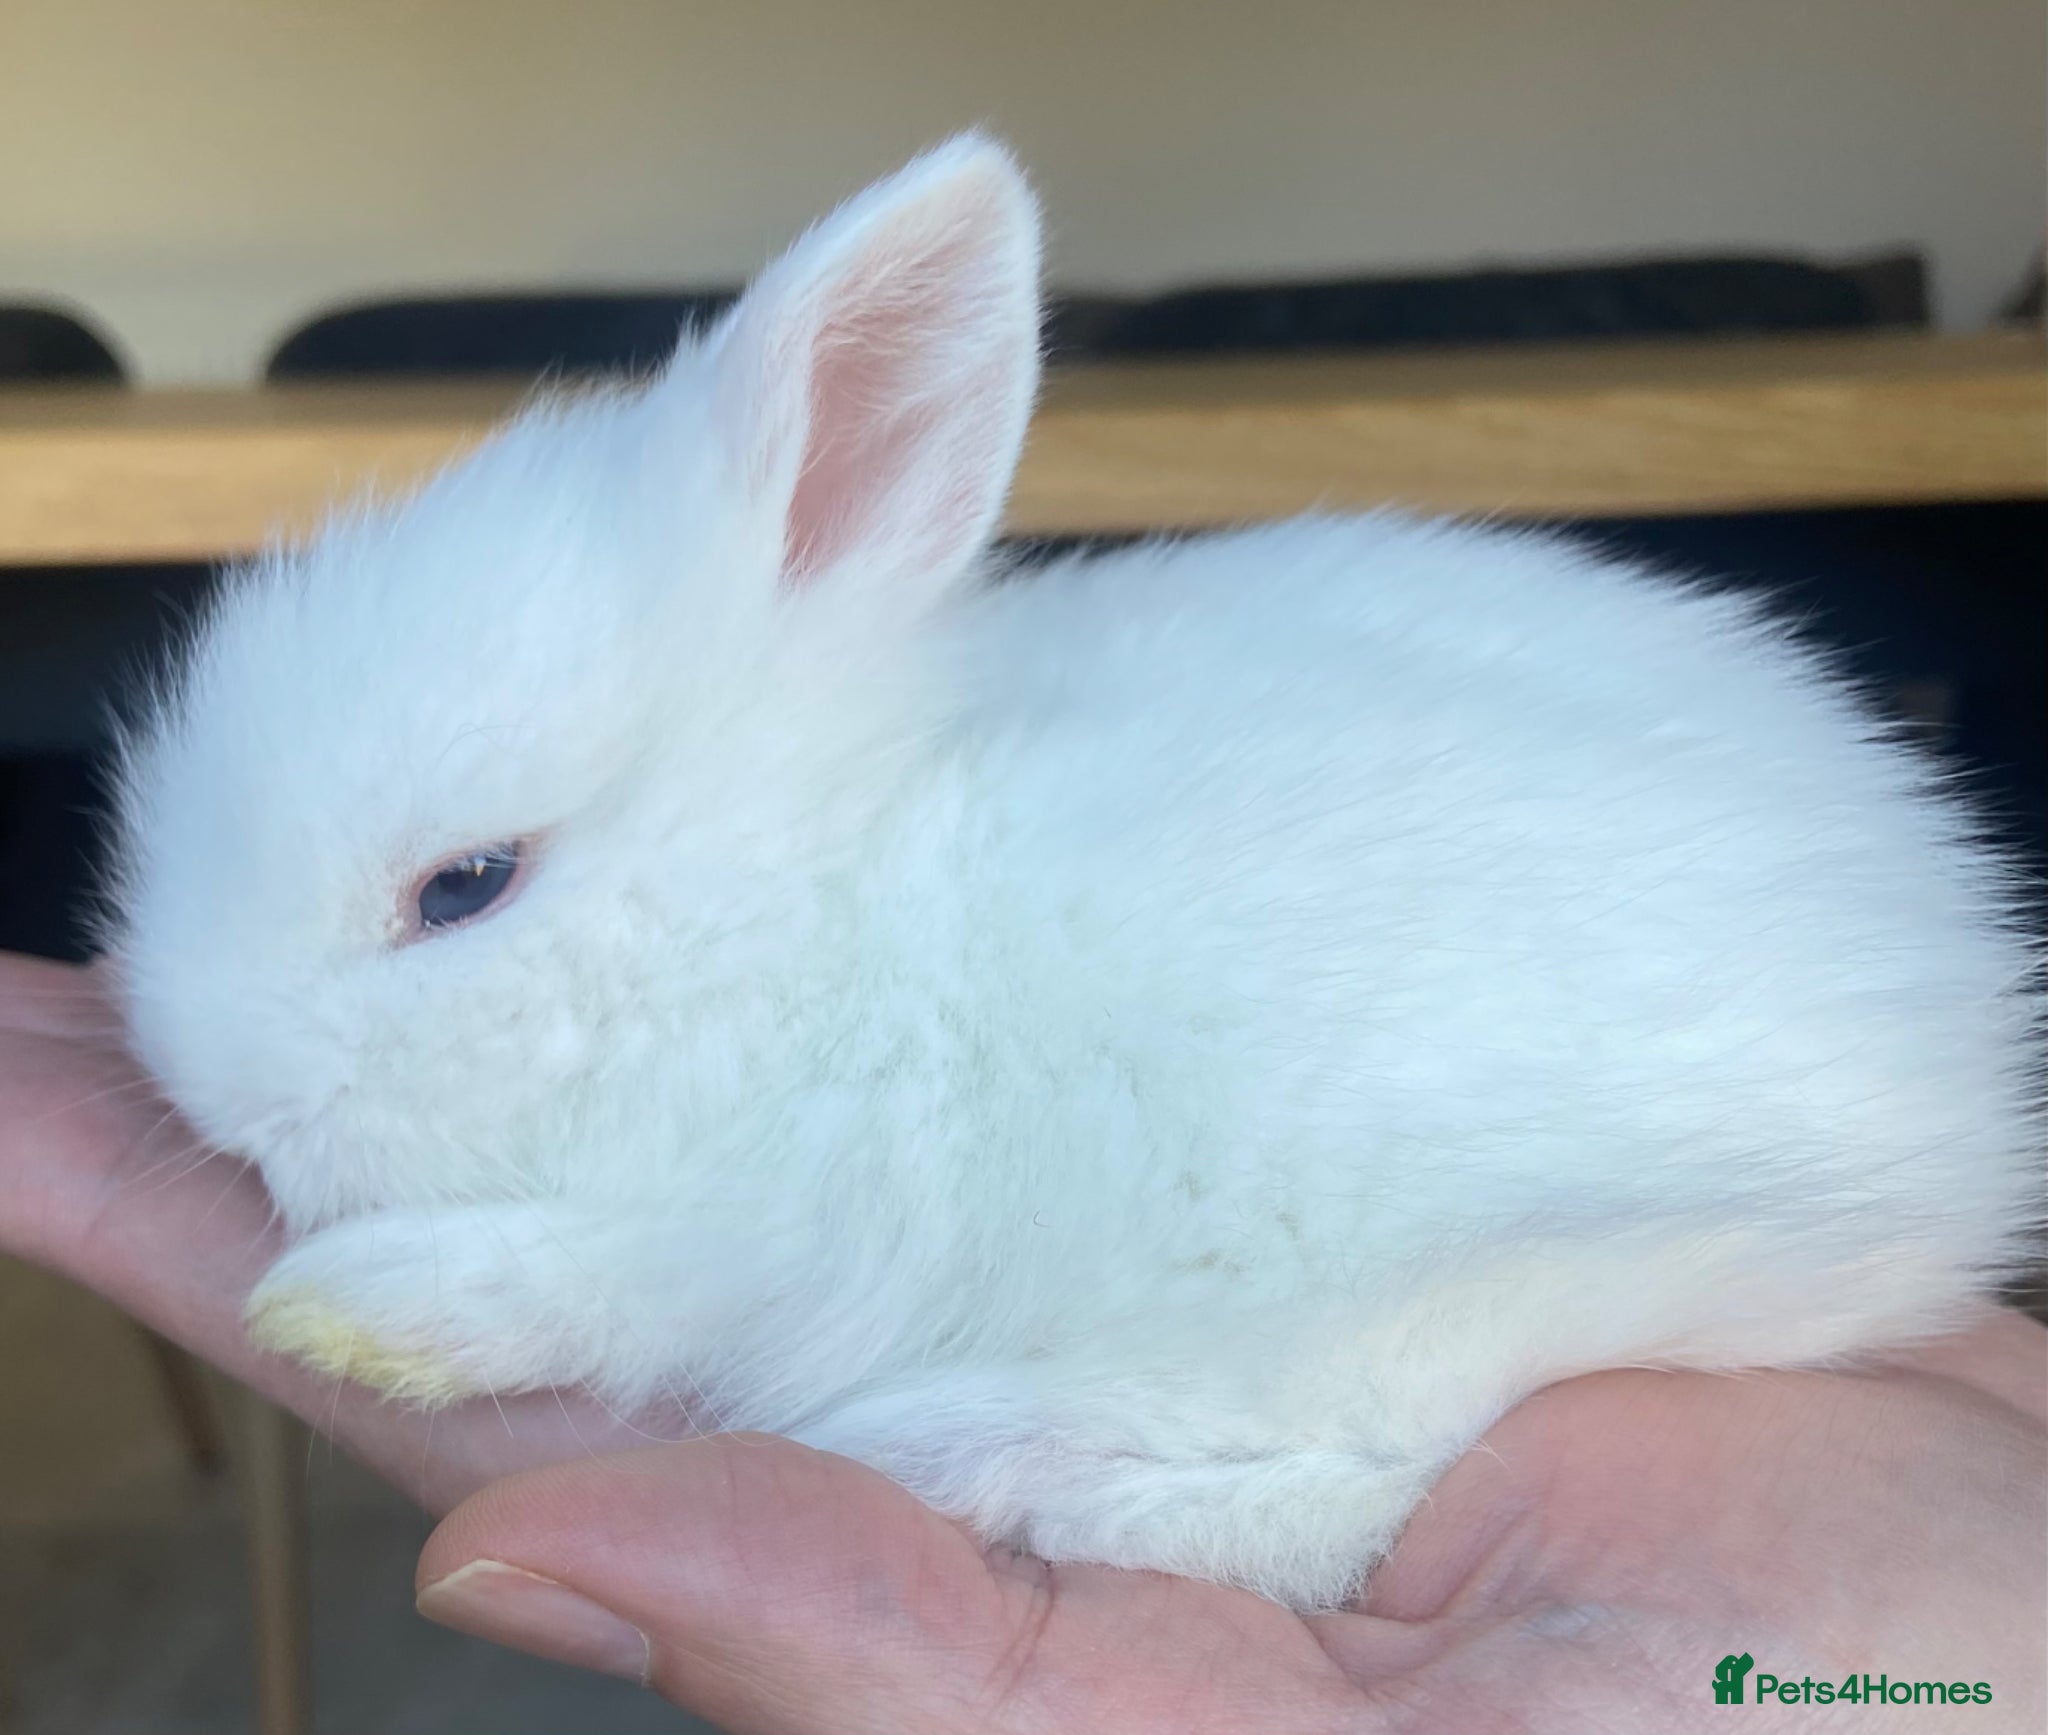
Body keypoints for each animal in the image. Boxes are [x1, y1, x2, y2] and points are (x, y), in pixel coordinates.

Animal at [106, 134, 2041, 1613]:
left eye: (468, 884)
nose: (217, 1100)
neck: (812, 907)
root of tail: (1952, 1140)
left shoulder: (775, 1220)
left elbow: (591, 1278)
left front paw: (355, 1314)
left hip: (1395, 1264)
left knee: (1348, 1472)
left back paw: (962, 1453)